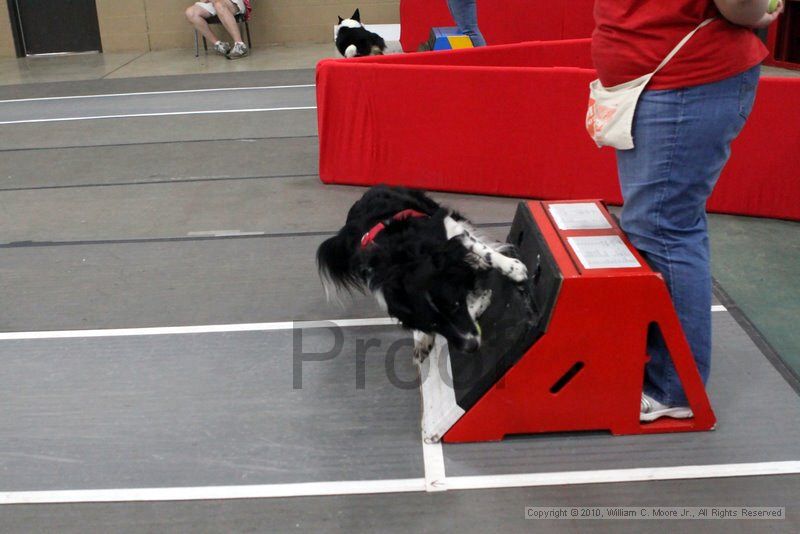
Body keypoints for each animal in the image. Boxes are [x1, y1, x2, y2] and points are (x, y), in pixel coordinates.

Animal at [316, 185, 528, 364]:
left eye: (455, 305)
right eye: (433, 323)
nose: (472, 347)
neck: (405, 258)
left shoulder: (449, 227)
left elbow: (480, 248)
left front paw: (512, 268)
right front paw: (424, 337)